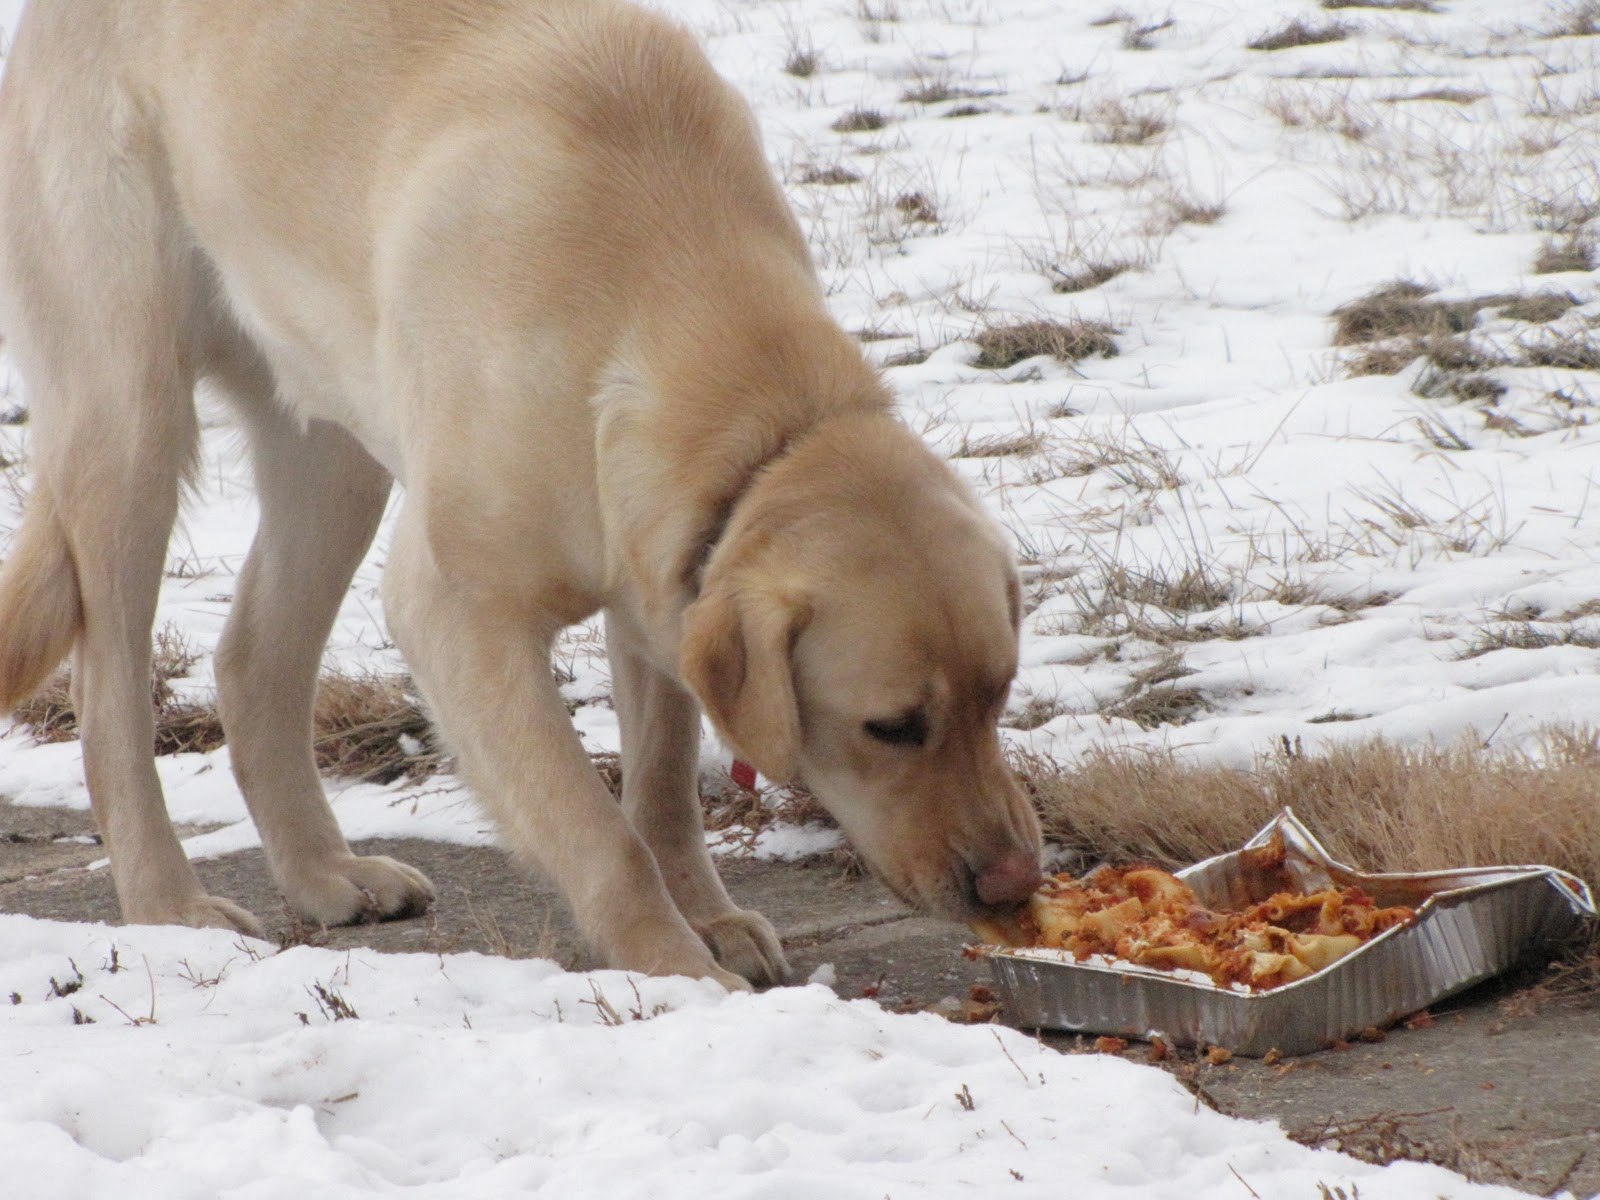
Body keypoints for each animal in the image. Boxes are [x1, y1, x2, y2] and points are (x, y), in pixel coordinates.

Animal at [0, 0, 1043, 992]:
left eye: (999, 696)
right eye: (892, 728)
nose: (1013, 884)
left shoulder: (659, 579)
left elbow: (663, 787)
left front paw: (707, 919)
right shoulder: (459, 614)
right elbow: (602, 832)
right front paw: (674, 967)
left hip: (334, 451)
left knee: (253, 660)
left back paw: (327, 874)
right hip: (130, 416)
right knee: (109, 697)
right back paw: (169, 905)